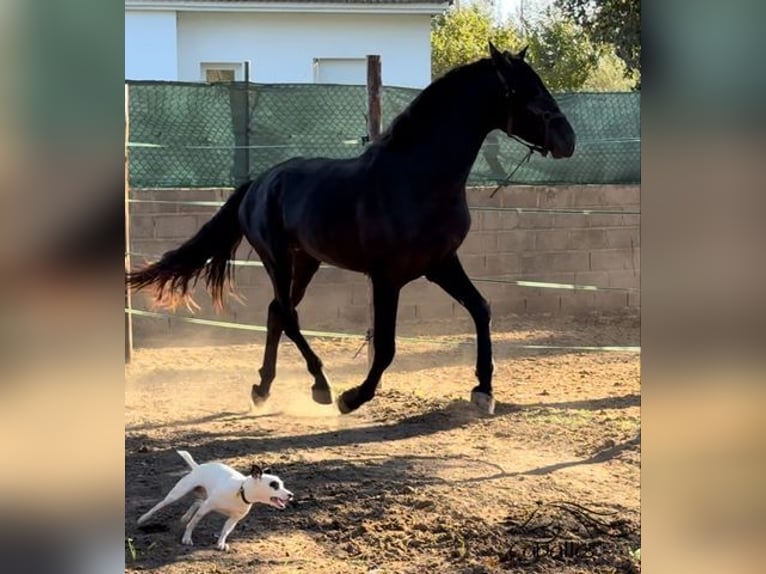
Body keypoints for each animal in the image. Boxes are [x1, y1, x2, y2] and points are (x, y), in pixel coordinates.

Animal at [129, 42, 576, 416]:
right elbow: (386, 347)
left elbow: (481, 309)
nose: (568, 139)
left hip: (305, 261)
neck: (418, 179)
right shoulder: (387, 277)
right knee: (287, 315)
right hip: (277, 259)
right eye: (524, 90)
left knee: (276, 314)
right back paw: (322, 387)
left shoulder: (441, 264)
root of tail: (258, 184)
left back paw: (264, 389)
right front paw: (353, 397)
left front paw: (483, 391)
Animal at [138, 452, 294, 552]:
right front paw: (187, 538)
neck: (240, 492)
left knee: (197, 502)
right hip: (176, 494)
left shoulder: (233, 519)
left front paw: (221, 543)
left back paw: (185, 516)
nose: (291, 495)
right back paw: (143, 518)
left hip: (203, 496)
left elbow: (225, 531)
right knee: (160, 505)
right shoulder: (206, 508)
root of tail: (198, 467)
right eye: (274, 485)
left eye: (282, 484)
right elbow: (193, 524)